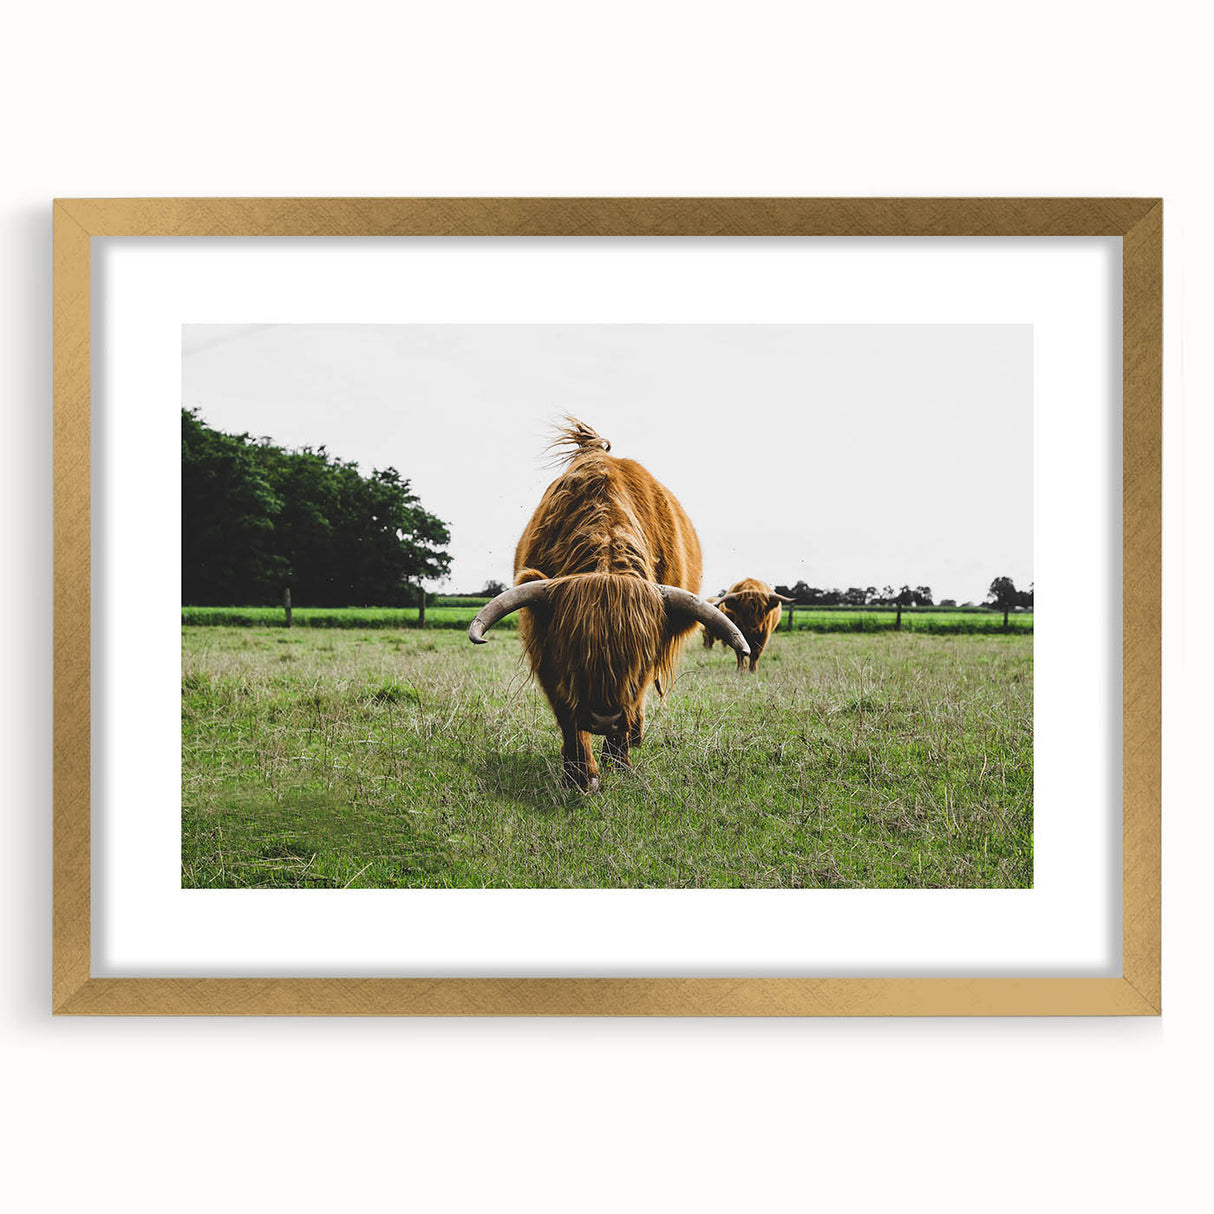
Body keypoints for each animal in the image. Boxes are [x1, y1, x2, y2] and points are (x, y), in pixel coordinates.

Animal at [468, 418, 750, 791]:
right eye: (572, 652)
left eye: (641, 658)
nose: (604, 718)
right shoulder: (546, 653)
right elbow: (568, 715)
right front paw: (580, 774)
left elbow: (632, 703)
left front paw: (619, 761)